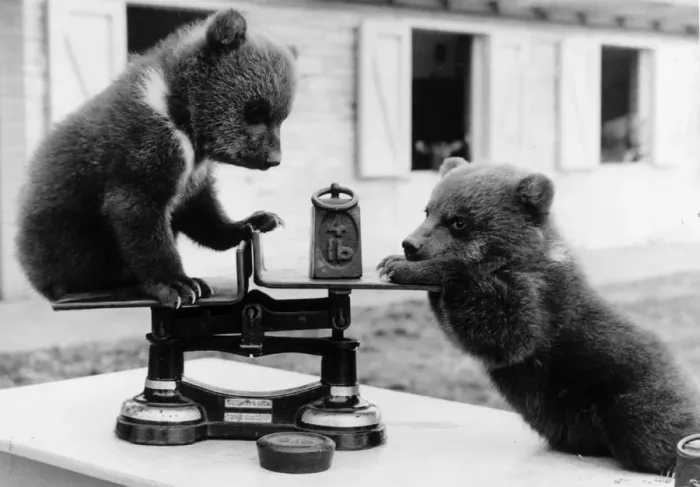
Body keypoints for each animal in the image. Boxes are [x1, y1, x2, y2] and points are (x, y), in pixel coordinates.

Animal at [16, 9, 297, 308]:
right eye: (255, 110)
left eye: (282, 117)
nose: (274, 159)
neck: (182, 117)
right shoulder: (142, 153)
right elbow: (142, 221)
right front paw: (178, 284)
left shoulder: (192, 175)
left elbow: (203, 212)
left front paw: (257, 221)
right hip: (70, 236)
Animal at [377, 157, 700, 475]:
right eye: (428, 210)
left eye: (459, 221)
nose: (410, 244)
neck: (514, 259)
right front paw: (391, 262)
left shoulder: (541, 299)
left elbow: (507, 329)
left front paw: (407, 268)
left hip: (629, 392)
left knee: (651, 433)